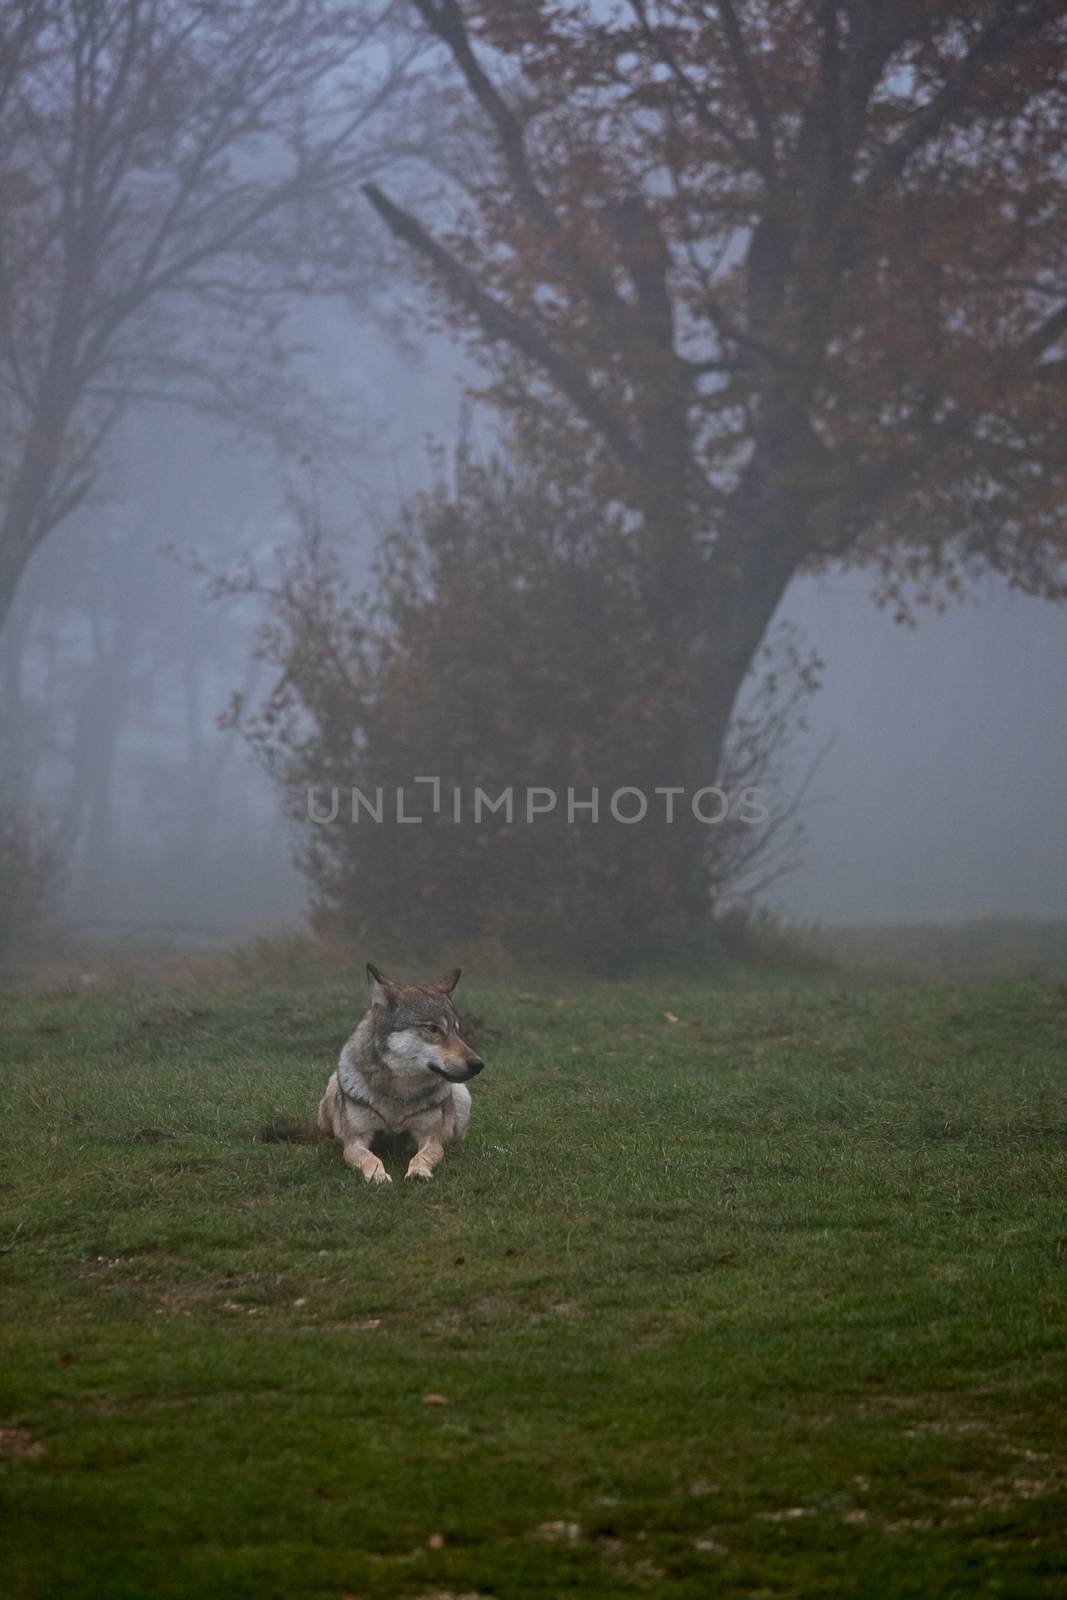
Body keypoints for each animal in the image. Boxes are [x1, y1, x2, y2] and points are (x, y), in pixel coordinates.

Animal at [262, 966, 483, 1184]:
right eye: (432, 1028)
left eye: (456, 1031)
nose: (478, 1064)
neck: (398, 1094)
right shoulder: (355, 1141)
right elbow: (370, 1158)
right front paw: (378, 1175)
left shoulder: (430, 1138)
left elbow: (423, 1156)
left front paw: (418, 1171)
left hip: (461, 1094)